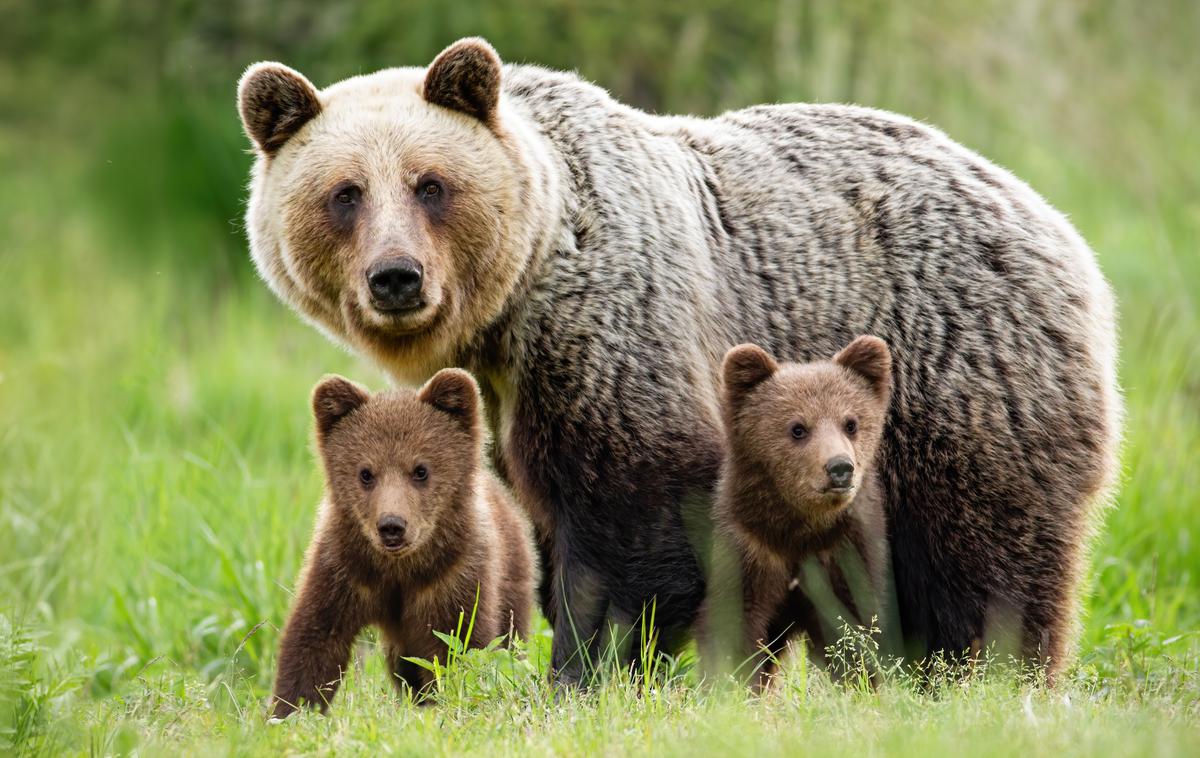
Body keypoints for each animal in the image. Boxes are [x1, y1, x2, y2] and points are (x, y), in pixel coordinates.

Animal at [274, 369, 537, 714]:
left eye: (421, 469)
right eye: (365, 472)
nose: (392, 526)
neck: (399, 569)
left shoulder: (453, 577)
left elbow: (461, 644)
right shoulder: (344, 569)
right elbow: (314, 639)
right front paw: (290, 710)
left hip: (512, 575)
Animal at [700, 338, 892, 686]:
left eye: (851, 423)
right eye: (798, 428)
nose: (840, 468)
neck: (799, 533)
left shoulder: (844, 552)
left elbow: (853, 627)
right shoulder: (751, 549)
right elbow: (734, 625)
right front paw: (731, 683)